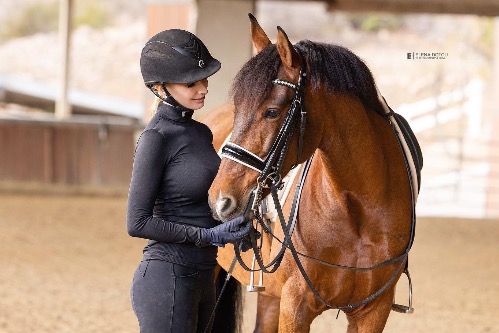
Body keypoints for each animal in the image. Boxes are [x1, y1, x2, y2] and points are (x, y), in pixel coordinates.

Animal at [204, 13, 422, 332]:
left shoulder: (374, 311)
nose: (220, 200)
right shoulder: (296, 306)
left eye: (272, 112)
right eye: (237, 110)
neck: (357, 209)